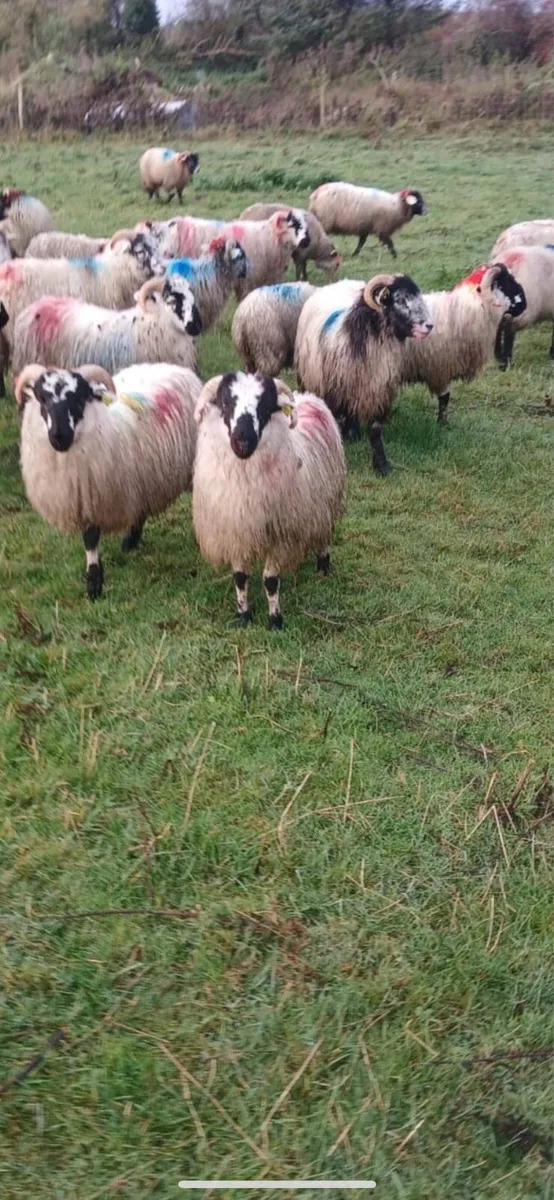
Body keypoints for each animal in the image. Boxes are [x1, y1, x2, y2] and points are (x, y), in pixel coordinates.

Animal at [15, 361, 202, 600]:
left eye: (79, 398)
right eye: (42, 398)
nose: (60, 436)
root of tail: (175, 367)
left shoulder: (92, 493)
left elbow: (90, 537)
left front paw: (94, 584)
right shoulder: (85, 497)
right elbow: (90, 541)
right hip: (141, 476)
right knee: (140, 507)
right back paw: (130, 541)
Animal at [193, 372, 345, 629]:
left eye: (264, 406)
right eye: (226, 403)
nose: (242, 442)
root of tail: (308, 396)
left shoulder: (279, 534)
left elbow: (271, 581)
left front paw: (275, 620)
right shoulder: (236, 529)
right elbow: (240, 577)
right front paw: (243, 615)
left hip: (325, 502)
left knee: (323, 534)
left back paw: (323, 567)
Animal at [294, 273, 433, 475]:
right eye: (400, 299)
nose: (429, 325)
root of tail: (339, 283)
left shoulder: (377, 391)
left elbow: (375, 430)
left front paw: (381, 465)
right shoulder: (334, 390)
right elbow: (336, 422)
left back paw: (354, 433)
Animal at [400, 262, 527, 420]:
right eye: (507, 282)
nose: (525, 304)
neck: (464, 309)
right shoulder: (441, 367)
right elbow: (444, 398)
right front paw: (442, 422)